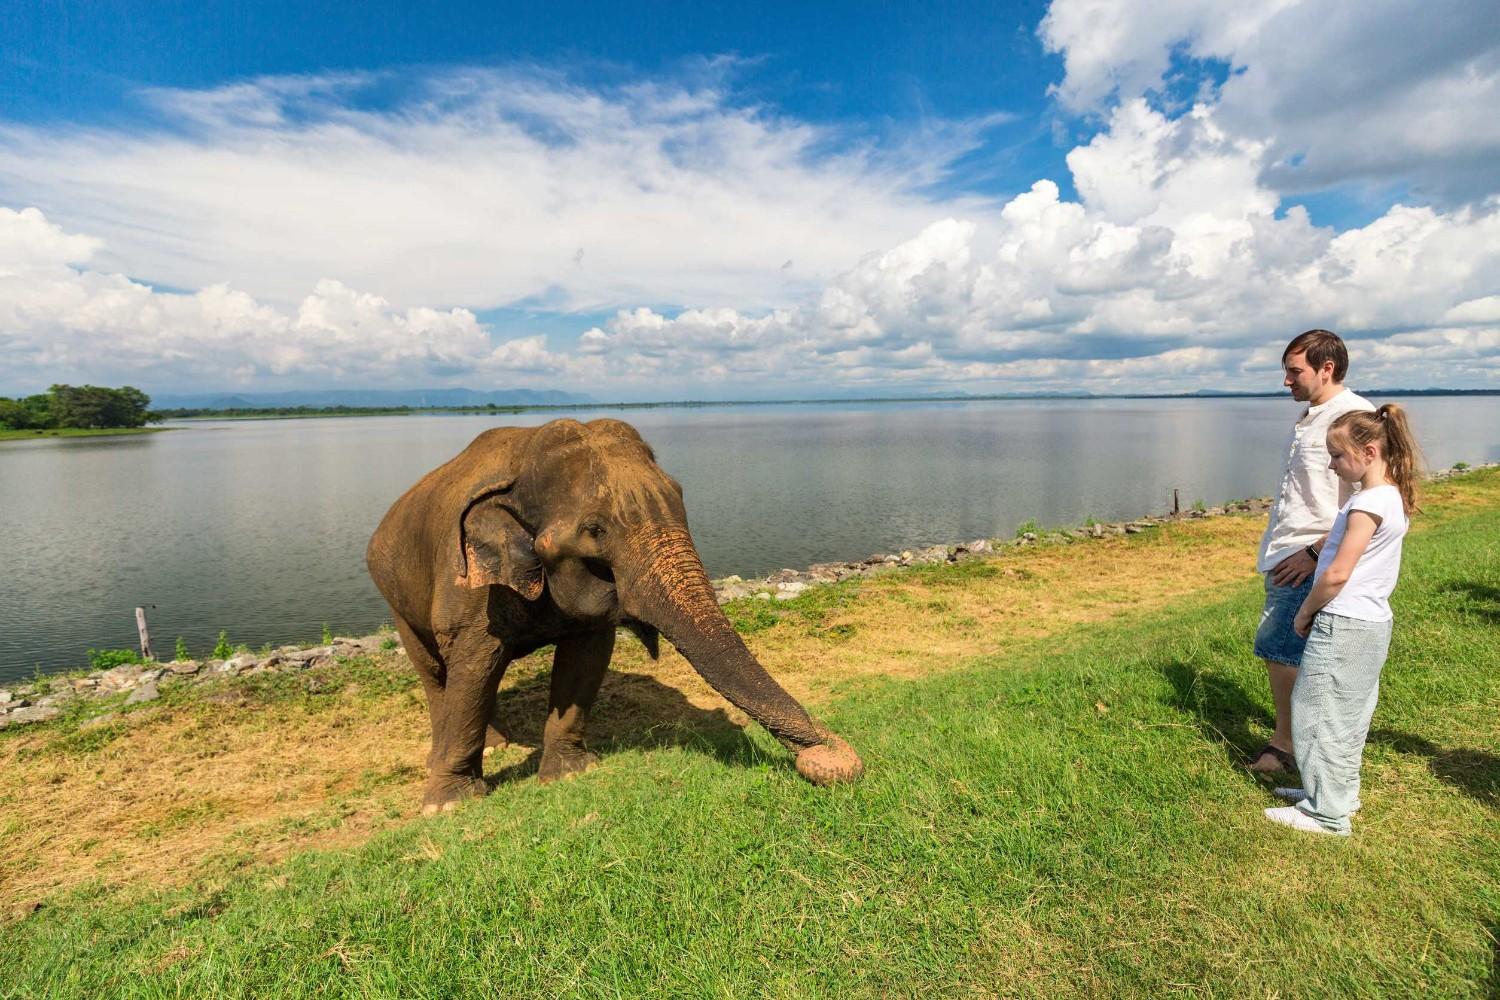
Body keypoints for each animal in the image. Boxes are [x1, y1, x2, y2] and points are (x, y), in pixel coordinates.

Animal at [367, 417, 863, 813]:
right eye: (594, 530)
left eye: (680, 500)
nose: (832, 754)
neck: (523, 459)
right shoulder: (468, 589)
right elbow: (474, 664)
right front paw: (448, 806)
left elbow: (585, 659)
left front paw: (571, 772)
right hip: (394, 596)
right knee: (435, 672)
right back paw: (482, 749)